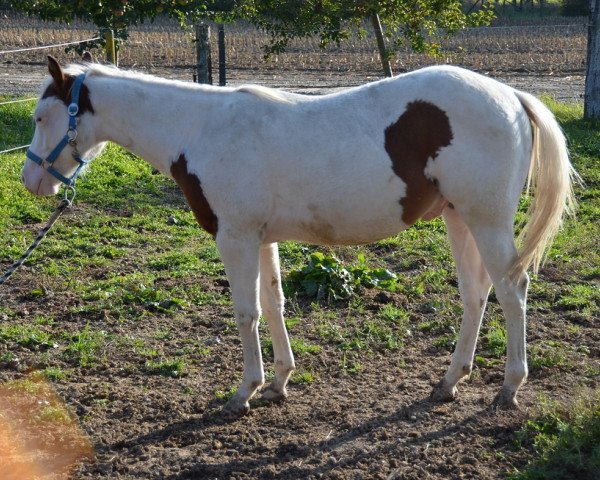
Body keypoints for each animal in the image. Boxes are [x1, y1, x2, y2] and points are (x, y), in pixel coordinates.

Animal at [22, 55, 576, 416]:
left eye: (42, 116)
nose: (32, 182)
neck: (201, 129)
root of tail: (512, 95)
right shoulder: (262, 238)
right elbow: (274, 304)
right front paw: (279, 384)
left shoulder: (236, 238)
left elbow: (246, 313)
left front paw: (244, 392)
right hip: (459, 218)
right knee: (475, 294)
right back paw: (449, 382)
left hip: (486, 220)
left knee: (512, 290)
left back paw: (509, 389)